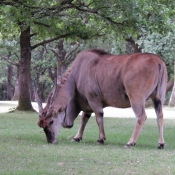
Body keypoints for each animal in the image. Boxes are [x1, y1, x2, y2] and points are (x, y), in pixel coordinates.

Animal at [34, 49, 167, 149]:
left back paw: (130, 142)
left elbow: (99, 117)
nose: (50, 140)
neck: (76, 75)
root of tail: (158, 61)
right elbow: (84, 118)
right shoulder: (87, 103)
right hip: (158, 98)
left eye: (51, 121)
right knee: (160, 116)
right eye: (41, 124)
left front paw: (101, 139)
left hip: (136, 98)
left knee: (141, 117)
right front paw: (77, 137)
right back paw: (160, 143)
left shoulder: (93, 98)